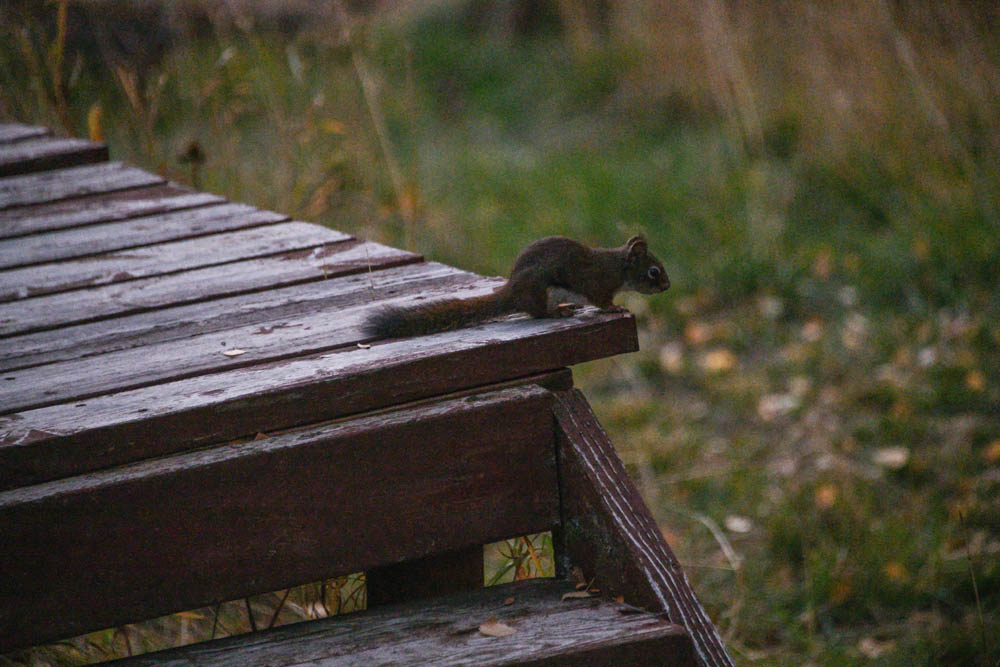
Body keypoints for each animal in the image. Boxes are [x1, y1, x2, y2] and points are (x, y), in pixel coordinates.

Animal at [363, 235, 670, 338]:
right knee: (537, 312)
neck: (617, 268)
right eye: (653, 272)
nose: (667, 286)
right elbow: (601, 301)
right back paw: (557, 311)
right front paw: (615, 308)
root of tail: (510, 292)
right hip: (540, 289)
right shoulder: (597, 283)